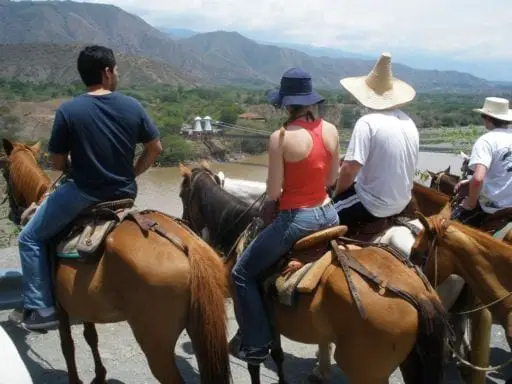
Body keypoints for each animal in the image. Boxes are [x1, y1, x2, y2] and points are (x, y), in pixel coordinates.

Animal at [1, 139, 230, 384]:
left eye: (4, 171)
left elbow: (67, 346)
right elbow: (90, 336)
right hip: (201, 330)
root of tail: (189, 245)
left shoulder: (62, 309)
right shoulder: (82, 302)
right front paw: (99, 375)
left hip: (156, 345)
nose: (13, 214)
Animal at [178, 164, 450, 384]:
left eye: (182, 195)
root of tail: (418, 294)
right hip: (409, 360)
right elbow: (278, 353)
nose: (185, 223)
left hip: (367, 371)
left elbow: (256, 361)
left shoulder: (244, 299)